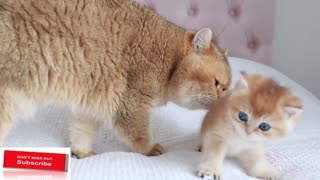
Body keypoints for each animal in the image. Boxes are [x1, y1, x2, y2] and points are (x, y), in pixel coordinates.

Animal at [0, 0, 231, 158]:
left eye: (228, 88)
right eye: (217, 83)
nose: (224, 103)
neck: (169, 63)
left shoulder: (89, 102)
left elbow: (82, 131)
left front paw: (82, 153)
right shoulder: (132, 103)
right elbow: (138, 134)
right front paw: (151, 149)